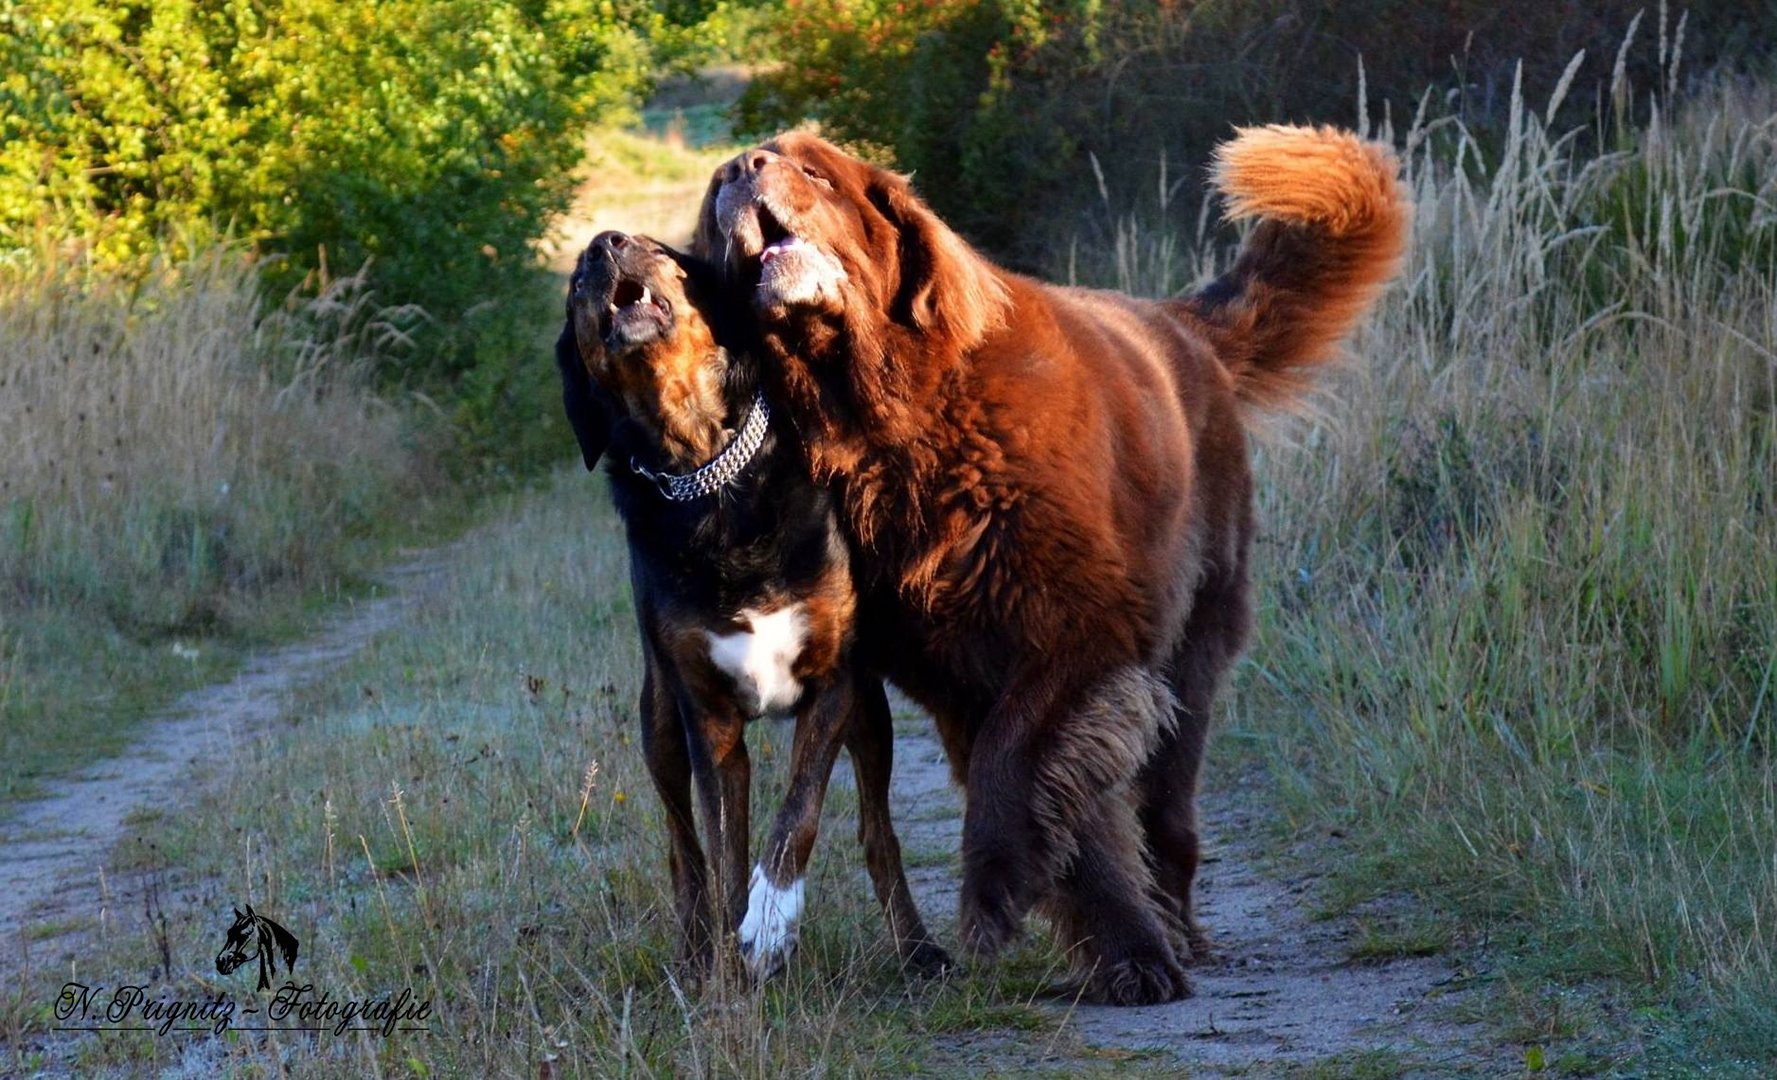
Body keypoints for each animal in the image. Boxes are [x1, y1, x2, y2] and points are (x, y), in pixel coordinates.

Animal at [554, 229, 952, 980]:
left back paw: (917, 948)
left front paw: (769, 922)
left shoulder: (835, 683)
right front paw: (729, 977)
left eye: (654, 248)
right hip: (658, 721)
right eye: (574, 285)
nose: (600, 245)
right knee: (683, 852)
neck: (706, 477)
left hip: (870, 714)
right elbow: (723, 857)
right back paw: (692, 955)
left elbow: (797, 814)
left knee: (876, 831)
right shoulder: (706, 718)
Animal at [700, 124, 1407, 1001]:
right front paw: (1117, 949)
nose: (736, 168)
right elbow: (1062, 805)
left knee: (1165, 809)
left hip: (1193, 649)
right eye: (716, 190)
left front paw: (996, 890)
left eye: (812, 171)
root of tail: (1179, 321)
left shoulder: (1080, 630)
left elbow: (1015, 760)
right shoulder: (955, 674)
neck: (890, 424)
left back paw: (1176, 926)